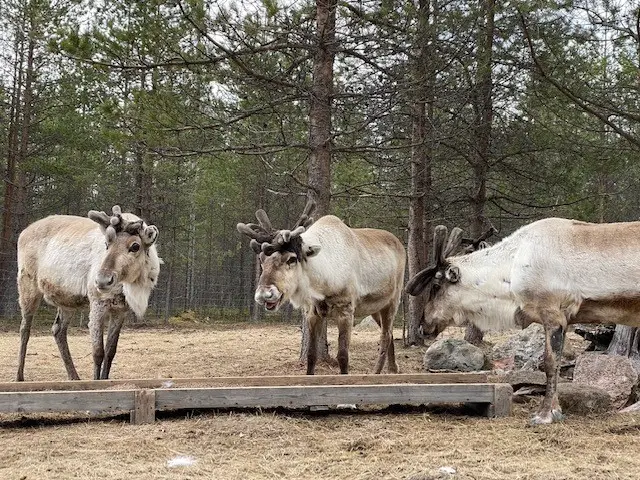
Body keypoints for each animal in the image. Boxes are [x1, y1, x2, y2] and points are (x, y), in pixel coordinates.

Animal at [16, 205, 161, 381]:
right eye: (106, 244)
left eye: (135, 246)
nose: (102, 280)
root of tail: (24, 232)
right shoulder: (97, 302)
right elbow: (98, 353)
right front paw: (95, 381)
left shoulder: (120, 310)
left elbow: (110, 352)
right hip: (27, 285)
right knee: (25, 328)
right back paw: (19, 377)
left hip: (66, 302)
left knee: (58, 330)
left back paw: (74, 377)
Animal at [237, 199, 406, 375]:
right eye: (261, 258)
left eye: (292, 259)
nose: (264, 294)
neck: (322, 283)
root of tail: (400, 244)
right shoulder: (312, 312)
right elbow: (311, 354)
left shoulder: (346, 310)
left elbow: (343, 356)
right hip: (375, 308)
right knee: (390, 333)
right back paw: (393, 368)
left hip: (393, 301)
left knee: (385, 336)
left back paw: (377, 372)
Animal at [406, 218, 640, 424]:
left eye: (436, 286)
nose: (422, 326)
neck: (511, 270)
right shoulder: (565, 319)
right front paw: (556, 410)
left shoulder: (552, 313)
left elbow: (550, 364)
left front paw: (545, 415)